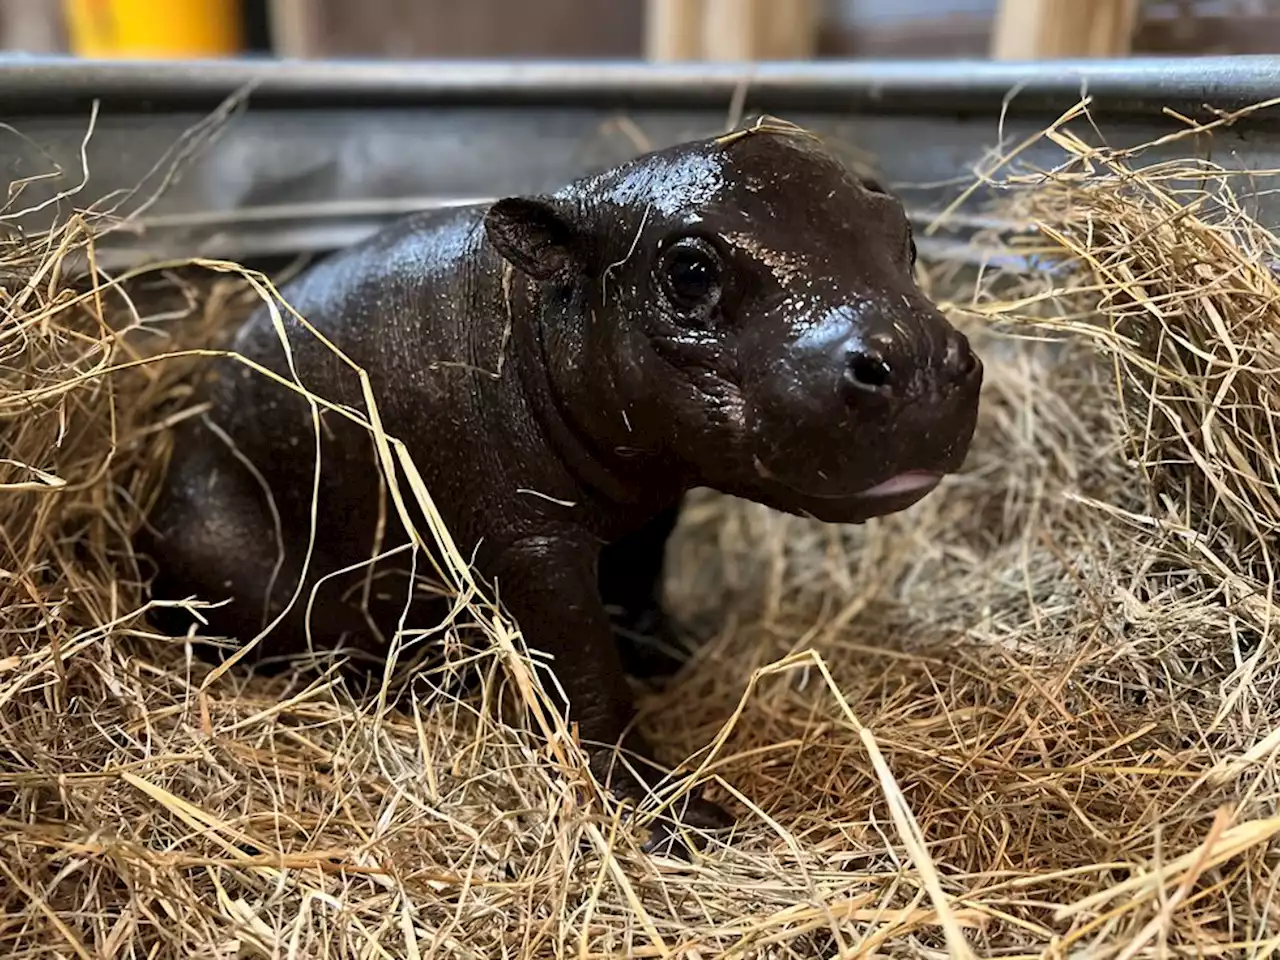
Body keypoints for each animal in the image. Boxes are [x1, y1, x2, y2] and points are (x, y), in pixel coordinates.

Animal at [137, 122, 977, 855]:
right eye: (690, 272)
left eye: (902, 234)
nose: (920, 359)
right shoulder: (532, 546)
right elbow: (586, 675)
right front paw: (681, 823)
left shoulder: (649, 510)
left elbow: (639, 587)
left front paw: (676, 656)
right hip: (225, 549)